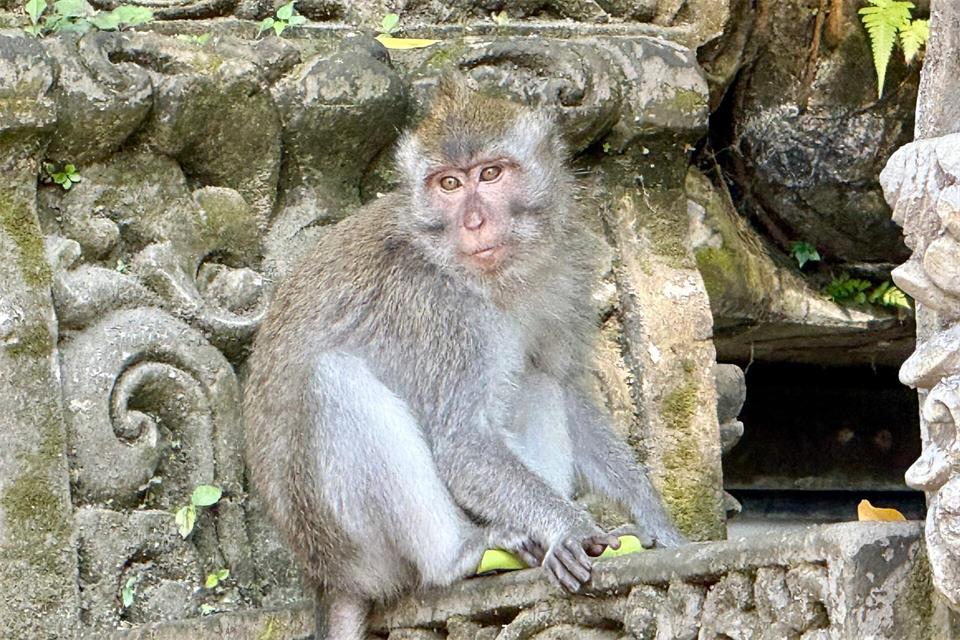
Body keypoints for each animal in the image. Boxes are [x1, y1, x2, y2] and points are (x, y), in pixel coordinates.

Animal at [244, 74, 687, 640]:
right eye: (449, 185)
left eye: (490, 174)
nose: (473, 222)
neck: (488, 279)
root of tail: (322, 578)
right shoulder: (436, 307)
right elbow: (462, 442)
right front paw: (571, 527)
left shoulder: (562, 270)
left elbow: (565, 385)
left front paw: (657, 522)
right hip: (348, 546)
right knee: (333, 380)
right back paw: (464, 552)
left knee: (536, 380)